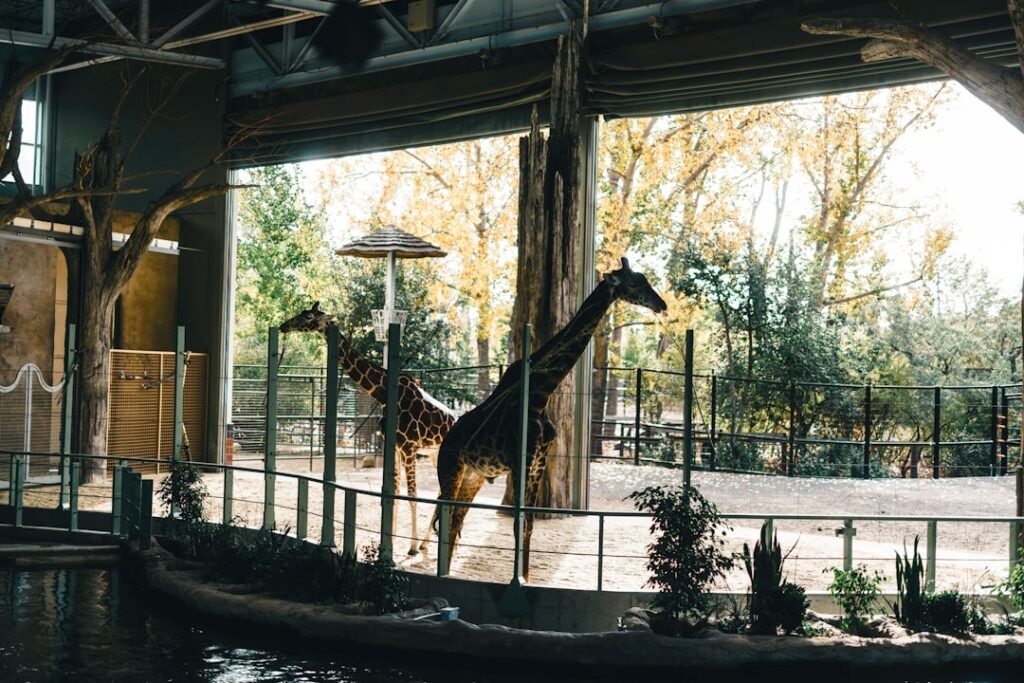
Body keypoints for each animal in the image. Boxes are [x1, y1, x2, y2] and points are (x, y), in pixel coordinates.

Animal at [279, 302, 456, 555]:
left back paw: (426, 545)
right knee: (444, 494)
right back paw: (426, 544)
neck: (383, 393)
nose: (284, 326)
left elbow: (412, 495)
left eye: (310, 317)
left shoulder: (408, 447)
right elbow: (394, 493)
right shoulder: (395, 447)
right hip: (435, 455)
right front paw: (390, 542)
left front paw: (410, 547)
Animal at [435, 258, 667, 580]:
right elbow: (518, 523)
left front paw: (526, 577)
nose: (662, 304)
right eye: (634, 284)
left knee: (456, 518)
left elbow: (529, 525)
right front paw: (517, 579)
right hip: (452, 468)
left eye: (645, 279)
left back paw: (447, 572)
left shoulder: (538, 463)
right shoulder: (521, 462)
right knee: (446, 516)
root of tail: (444, 442)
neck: (541, 394)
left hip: (474, 476)